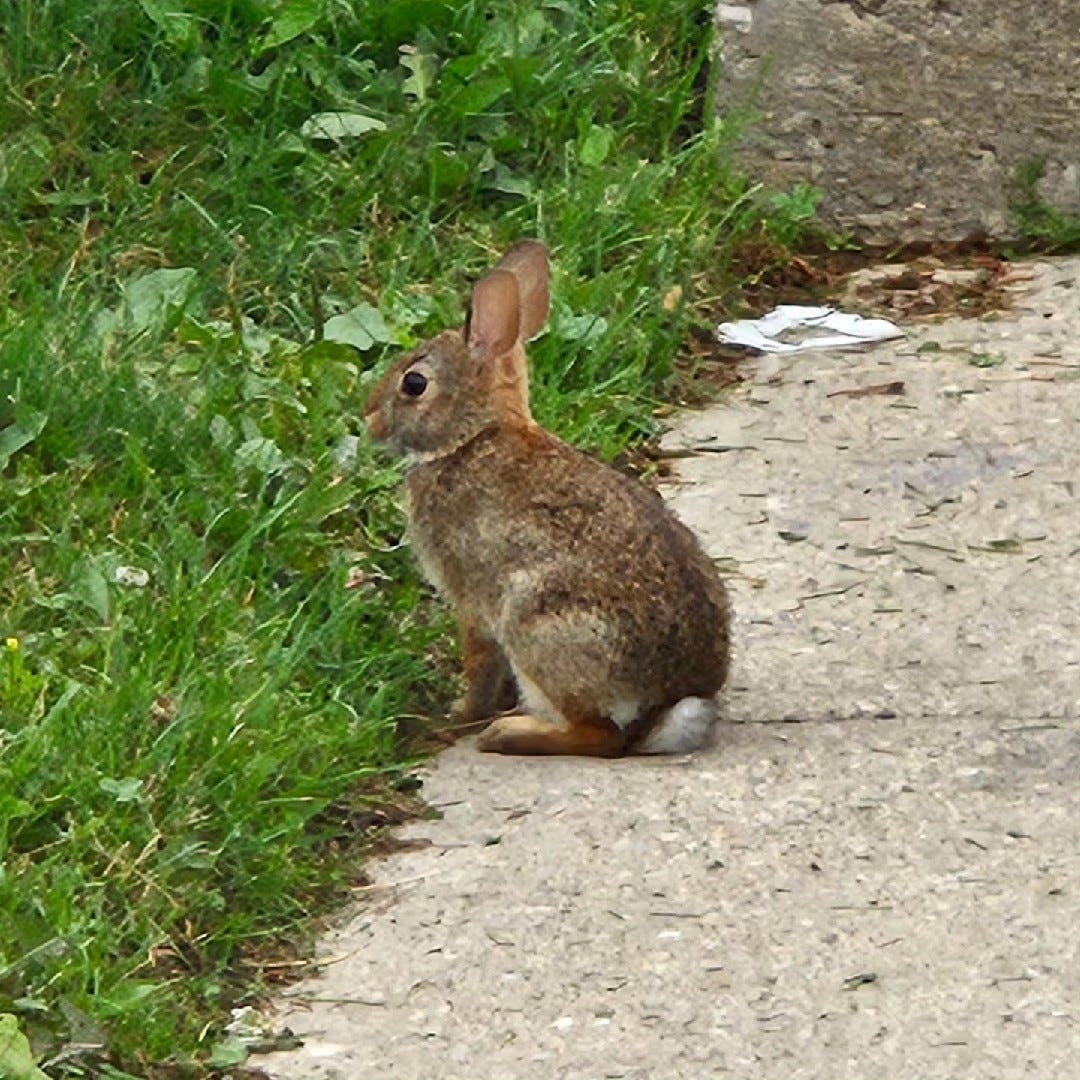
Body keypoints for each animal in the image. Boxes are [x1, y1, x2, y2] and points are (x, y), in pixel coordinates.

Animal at [364, 240, 730, 756]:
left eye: (414, 384)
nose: (369, 418)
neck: (474, 435)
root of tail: (667, 704)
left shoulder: (471, 597)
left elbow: (479, 661)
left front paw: (460, 715)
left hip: (538, 625)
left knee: (600, 736)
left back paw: (508, 734)